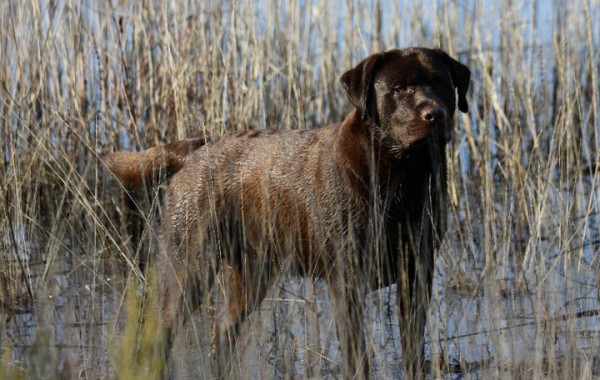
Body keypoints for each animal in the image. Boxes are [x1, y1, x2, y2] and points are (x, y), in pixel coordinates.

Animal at [104, 46, 468, 378]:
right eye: (400, 88)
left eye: (442, 84)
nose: (435, 114)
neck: (401, 175)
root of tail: (196, 149)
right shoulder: (347, 279)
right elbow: (356, 354)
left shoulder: (418, 272)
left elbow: (413, 345)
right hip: (188, 264)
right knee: (160, 330)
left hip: (252, 272)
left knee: (223, 327)